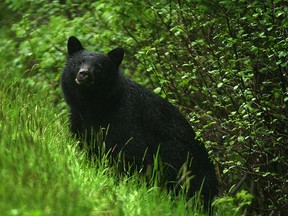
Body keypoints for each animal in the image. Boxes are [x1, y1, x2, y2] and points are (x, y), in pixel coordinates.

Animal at [62, 36, 217, 207]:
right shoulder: (79, 120)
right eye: (79, 62)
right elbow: (88, 147)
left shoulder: (125, 119)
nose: (84, 74)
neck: (93, 104)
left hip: (181, 159)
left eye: (99, 67)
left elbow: (132, 153)